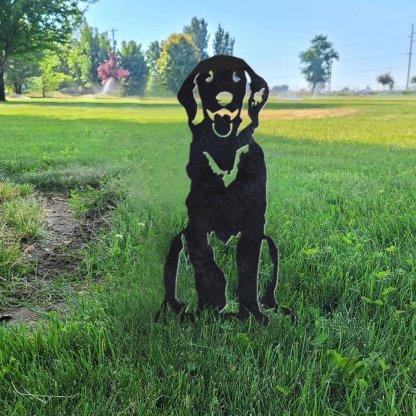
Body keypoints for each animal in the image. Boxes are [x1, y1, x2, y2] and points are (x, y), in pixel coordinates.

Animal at [157, 55, 279, 324]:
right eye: (207, 77)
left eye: (237, 77)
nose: (223, 99)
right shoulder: (197, 225)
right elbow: (207, 270)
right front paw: (211, 310)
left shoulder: (255, 225)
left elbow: (247, 275)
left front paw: (251, 315)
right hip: (178, 243)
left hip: (269, 244)